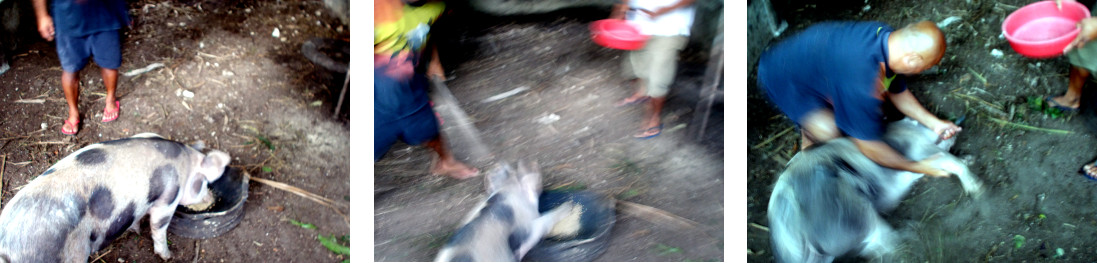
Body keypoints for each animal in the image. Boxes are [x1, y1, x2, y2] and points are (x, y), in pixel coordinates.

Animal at [0, 132, 231, 261]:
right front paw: (168, 256)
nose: (210, 198)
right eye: (204, 183)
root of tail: (8, 246)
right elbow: (158, 228)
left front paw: (135, 229)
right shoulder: (167, 199)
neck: (185, 162)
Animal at [763, 117, 987, 263]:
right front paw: (977, 190)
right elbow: (948, 160)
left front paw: (970, 158)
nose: (956, 128)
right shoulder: (920, 149)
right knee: (884, 243)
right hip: (854, 214)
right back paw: (914, 232)